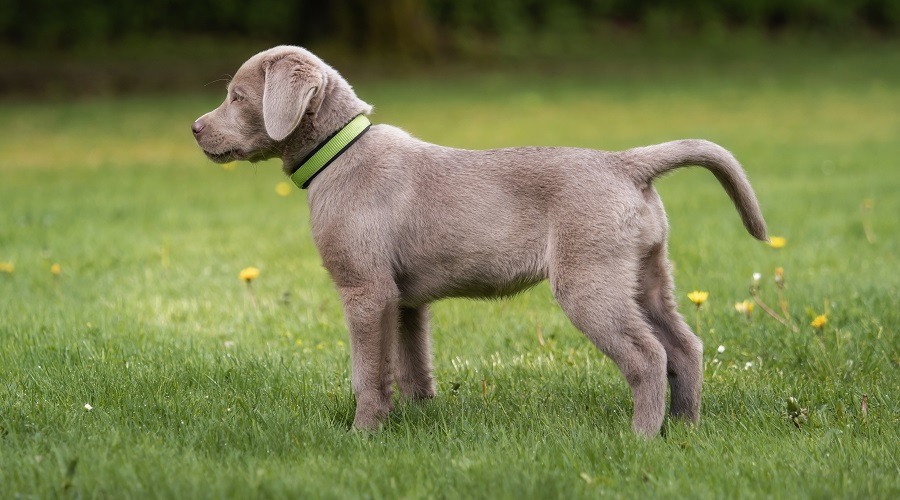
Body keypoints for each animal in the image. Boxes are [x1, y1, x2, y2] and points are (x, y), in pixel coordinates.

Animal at [192, 45, 768, 436]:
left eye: (237, 97)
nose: (195, 128)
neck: (338, 152)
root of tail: (626, 164)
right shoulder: (404, 301)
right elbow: (412, 366)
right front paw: (420, 421)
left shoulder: (365, 290)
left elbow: (367, 373)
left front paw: (362, 434)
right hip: (647, 273)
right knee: (684, 347)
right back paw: (686, 428)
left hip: (589, 279)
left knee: (648, 356)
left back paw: (642, 438)